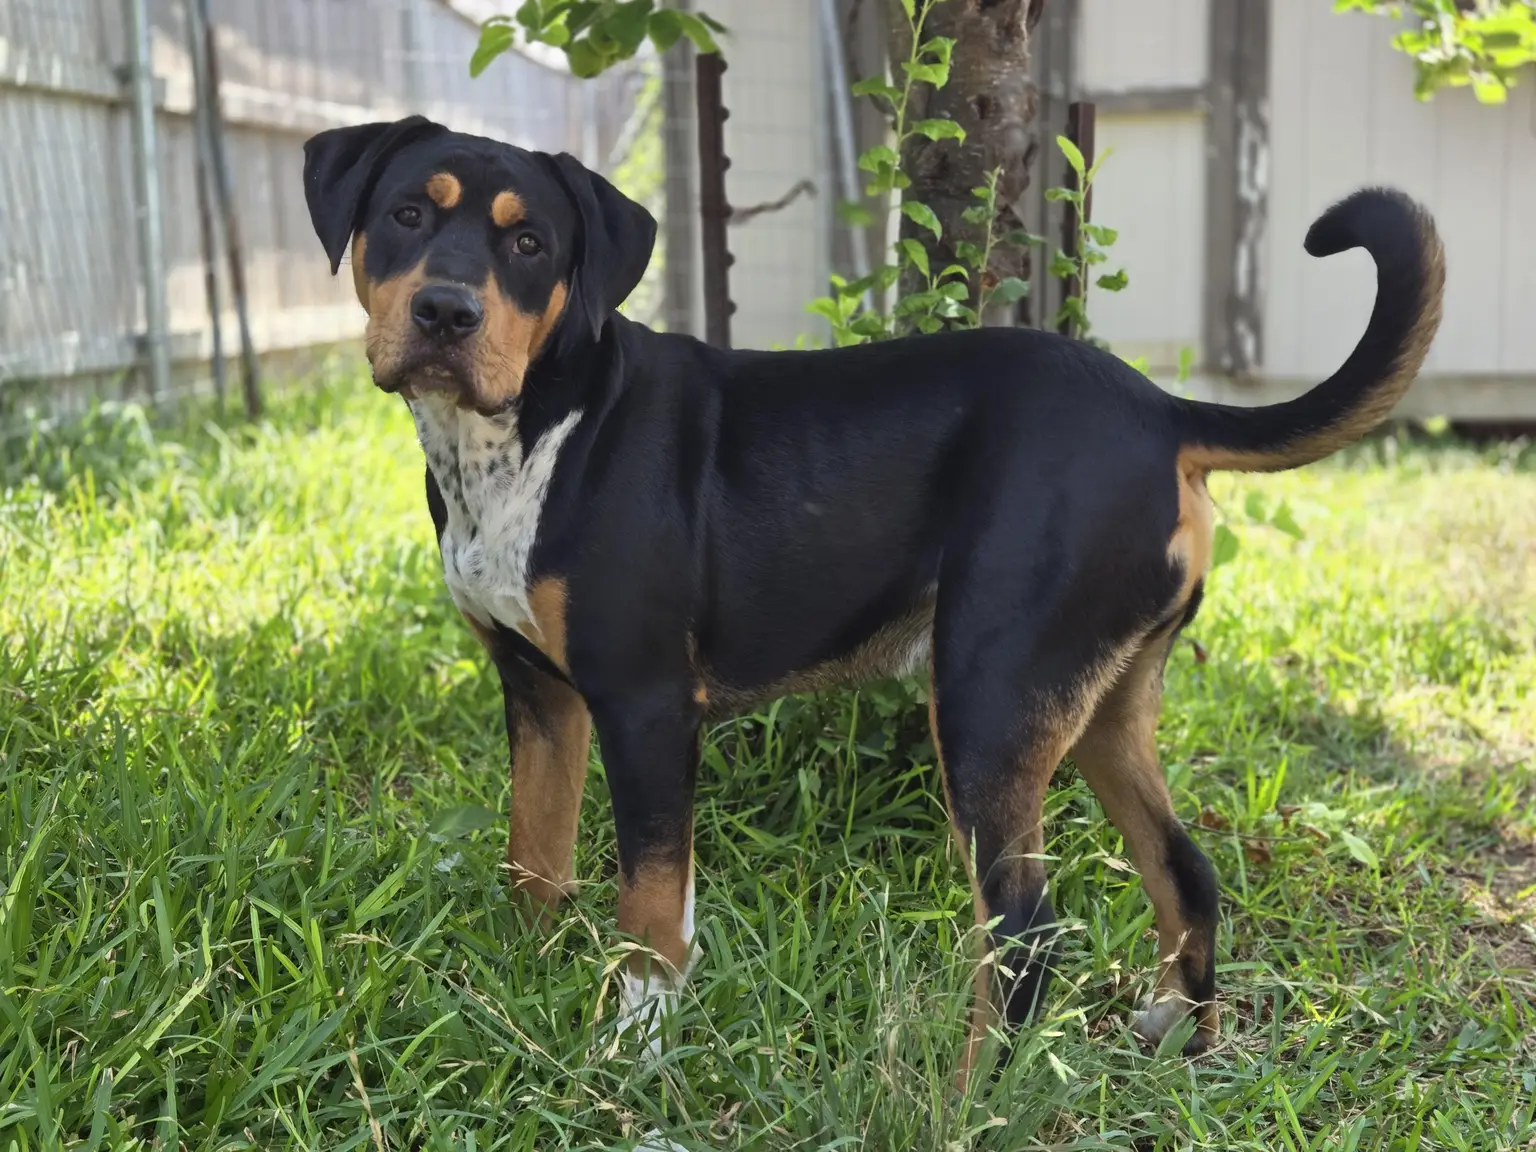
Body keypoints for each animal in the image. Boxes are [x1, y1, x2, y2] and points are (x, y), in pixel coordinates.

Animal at [305, 115, 1443, 1075]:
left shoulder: (645, 706)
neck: (538, 427)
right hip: (1102, 707)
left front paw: (636, 1037)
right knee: (1184, 870)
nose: (445, 312)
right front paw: (531, 983)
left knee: (1025, 929)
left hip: (986, 699)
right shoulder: (540, 693)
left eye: (530, 243)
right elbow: (533, 858)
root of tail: (1159, 409)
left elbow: (651, 902)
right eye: (406, 216)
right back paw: (1179, 1034)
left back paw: (971, 1095)